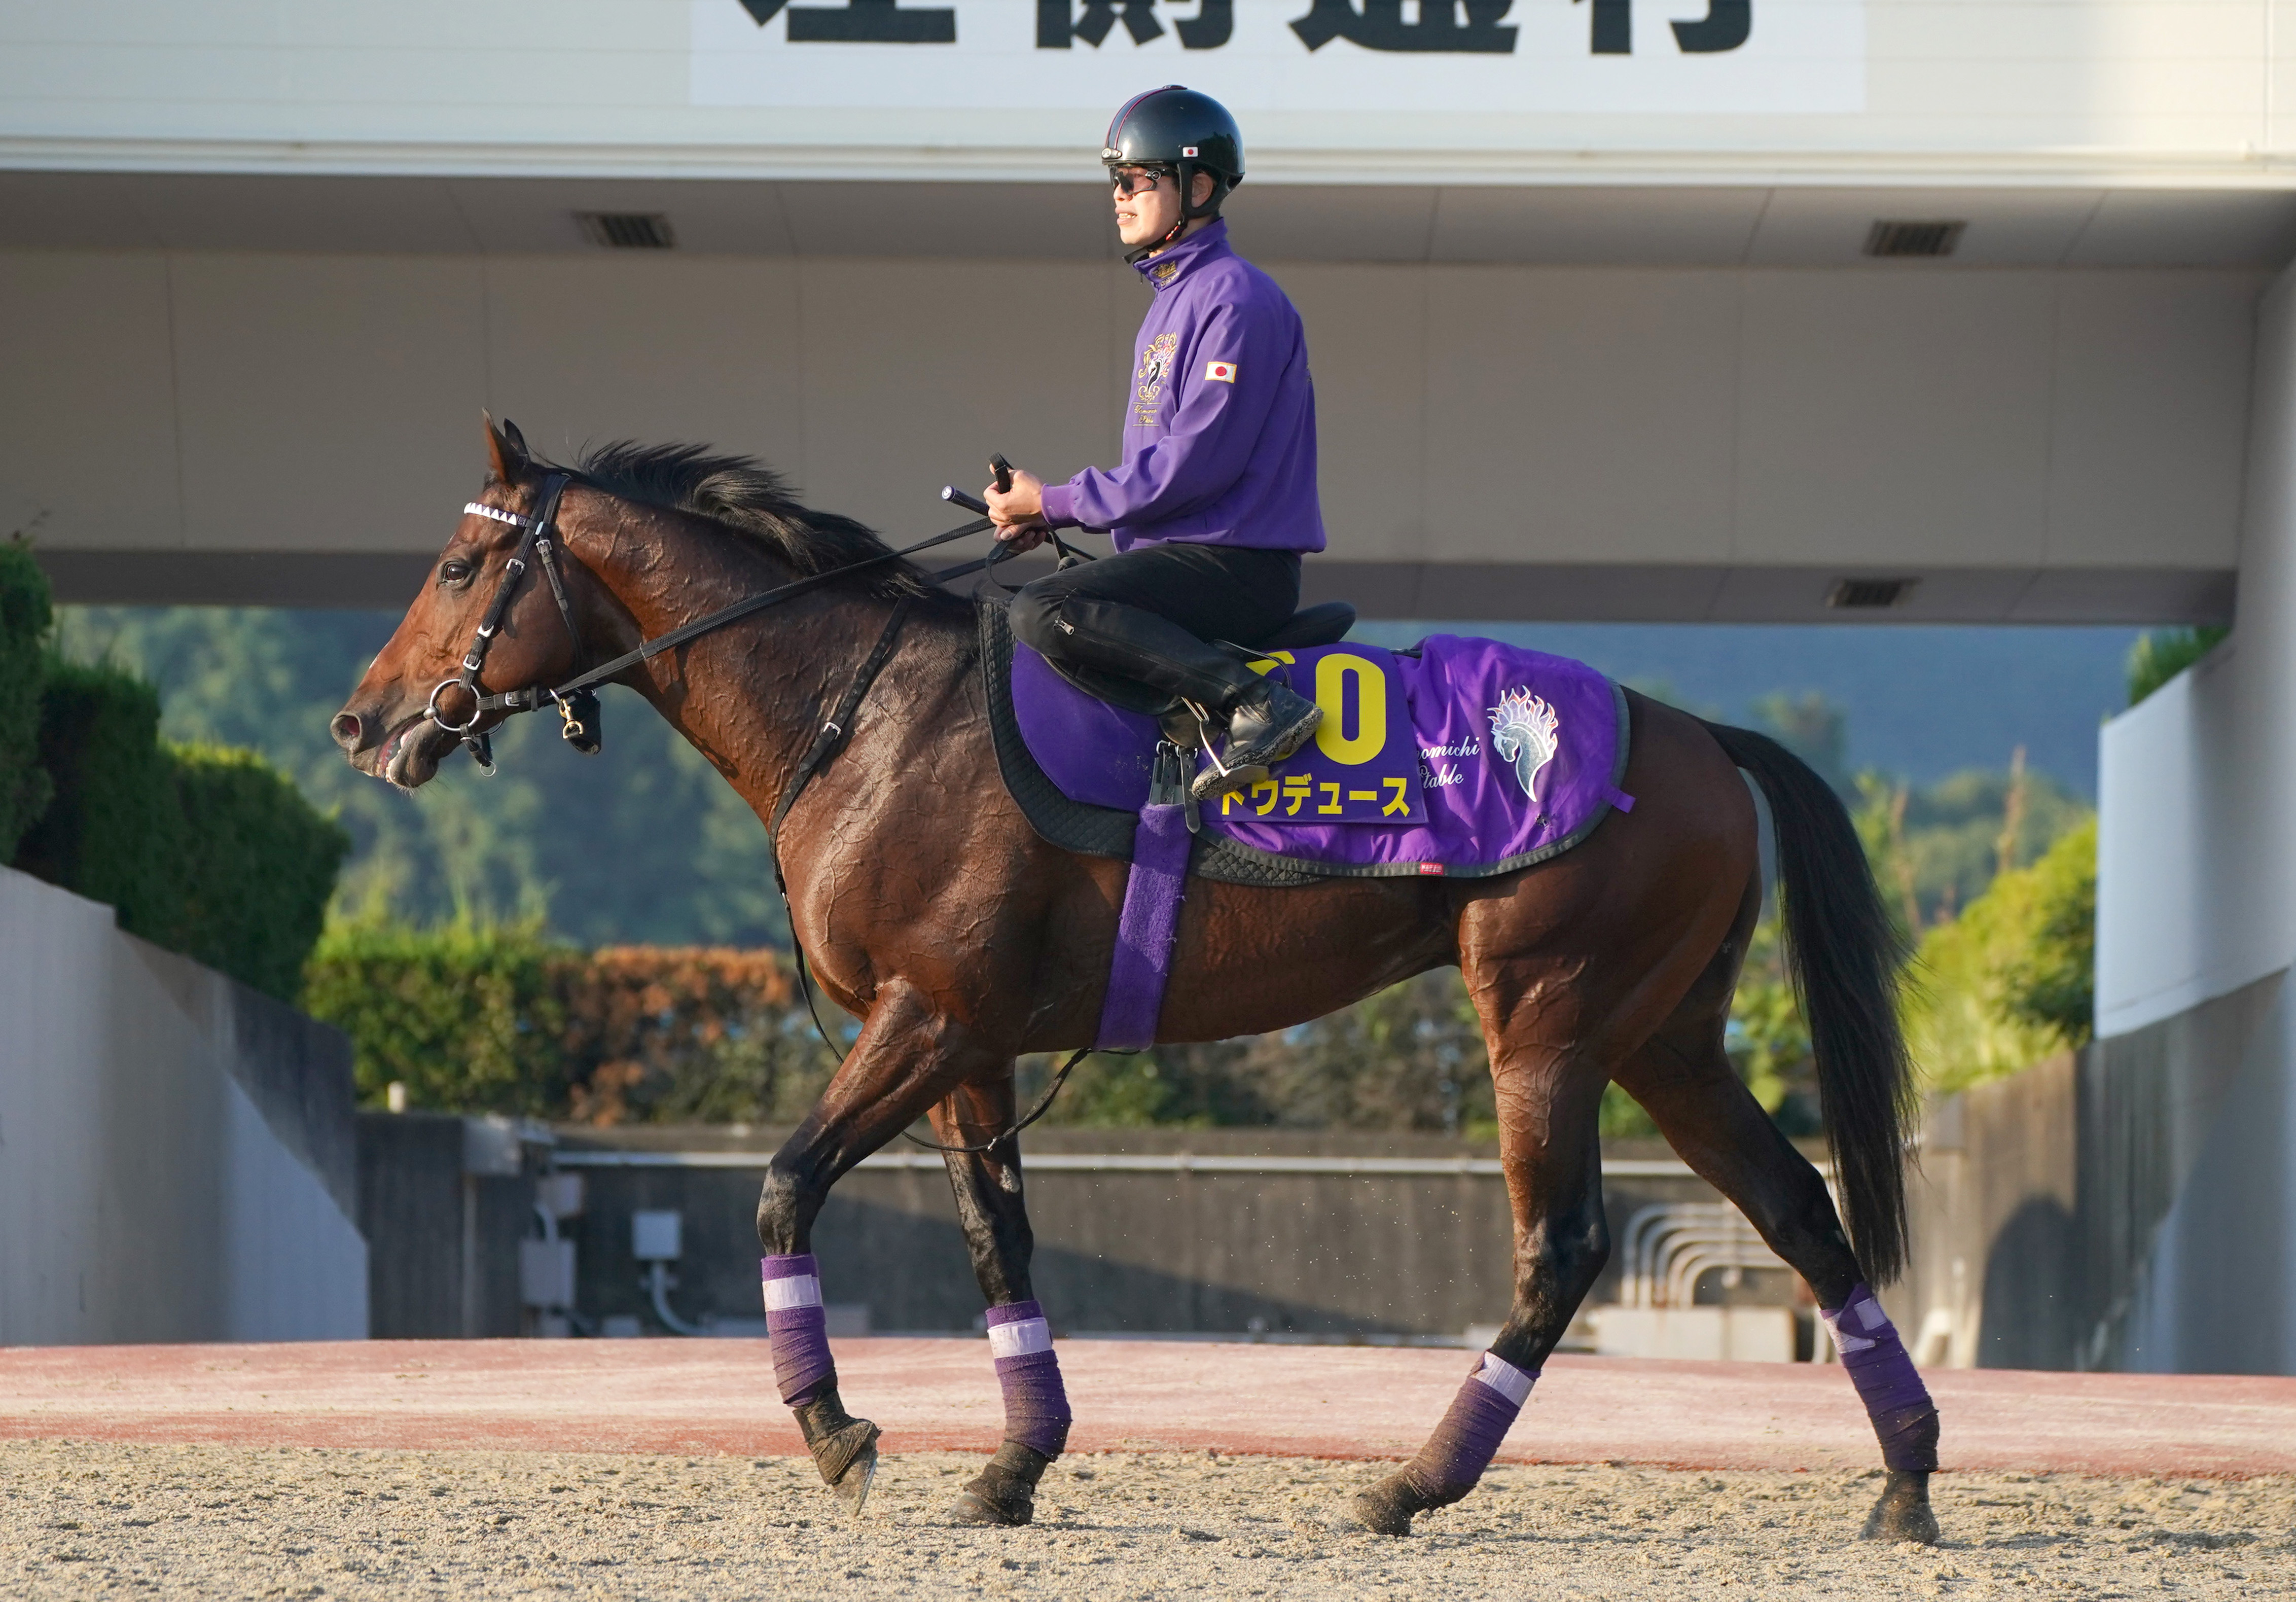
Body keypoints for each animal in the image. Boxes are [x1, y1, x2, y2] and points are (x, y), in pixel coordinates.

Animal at [328, 417, 1938, 1542]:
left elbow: (784, 1187)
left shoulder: (924, 1018)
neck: (869, 714)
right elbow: (998, 1245)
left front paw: (836, 1429)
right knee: (1801, 1214)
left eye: (461, 566)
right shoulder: (968, 1047)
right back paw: (1907, 1477)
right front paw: (1014, 1462)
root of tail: (1699, 735)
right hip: (1666, 1036)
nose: (360, 720)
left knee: (1560, 1252)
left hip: (1545, 1023)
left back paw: (1410, 1483)